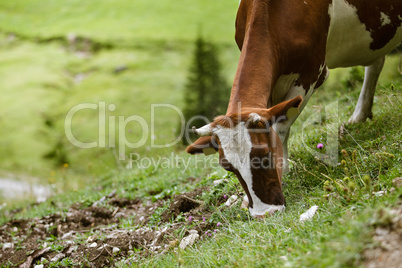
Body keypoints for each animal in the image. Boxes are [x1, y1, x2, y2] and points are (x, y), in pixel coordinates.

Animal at [185, 0, 402, 218]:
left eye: (265, 155)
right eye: (227, 167)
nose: (265, 213)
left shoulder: (313, 72)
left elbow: (281, 128)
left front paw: (283, 170)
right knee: (376, 62)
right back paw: (359, 116)